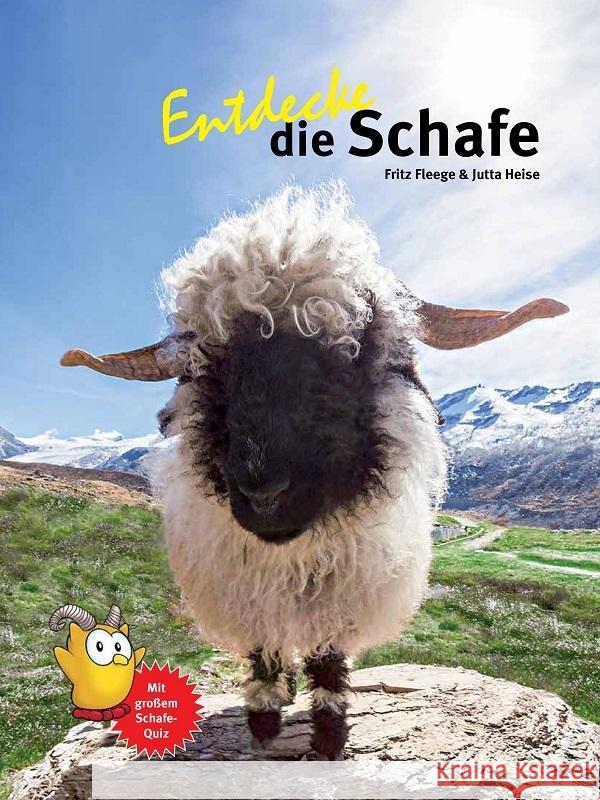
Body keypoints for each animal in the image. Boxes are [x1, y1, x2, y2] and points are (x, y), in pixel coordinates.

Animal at [61, 180, 568, 760]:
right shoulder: (247, 589)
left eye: (351, 352)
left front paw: (328, 733)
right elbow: (263, 651)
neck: (291, 555)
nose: (264, 494)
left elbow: (328, 661)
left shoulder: (343, 590)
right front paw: (263, 719)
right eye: (207, 366)